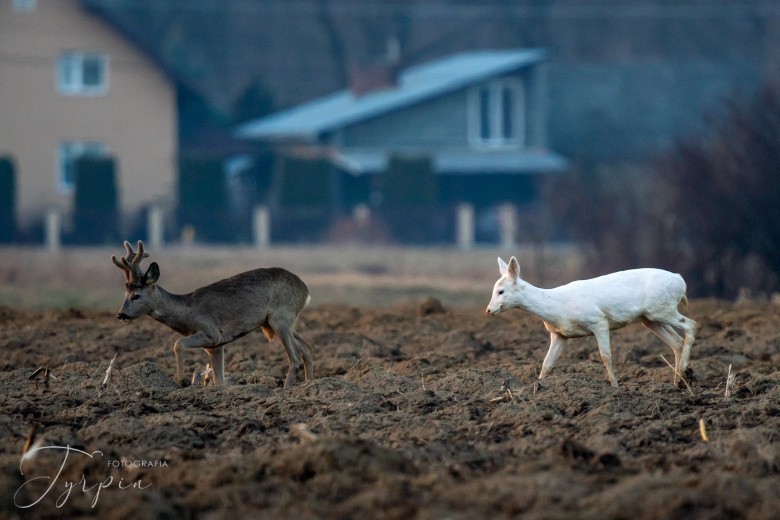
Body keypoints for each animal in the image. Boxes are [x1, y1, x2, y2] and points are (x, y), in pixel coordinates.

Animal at [112, 241, 314, 386]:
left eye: (136, 296)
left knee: (295, 358)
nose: (121, 314)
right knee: (307, 349)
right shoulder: (215, 346)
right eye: (124, 294)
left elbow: (178, 344)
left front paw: (182, 381)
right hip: (282, 321)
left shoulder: (211, 332)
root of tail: (305, 290)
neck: (187, 312)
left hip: (280, 317)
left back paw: (287, 389)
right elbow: (219, 380)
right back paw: (309, 385)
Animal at [484, 258, 696, 388]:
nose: (488, 310)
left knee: (691, 324)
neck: (557, 306)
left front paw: (615, 386)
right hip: (651, 318)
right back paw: (678, 382)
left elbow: (605, 356)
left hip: (663, 308)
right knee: (676, 342)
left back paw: (684, 371)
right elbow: (547, 363)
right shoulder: (559, 334)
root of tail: (681, 280)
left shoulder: (598, 321)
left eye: (501, 291)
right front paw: (539, 386)